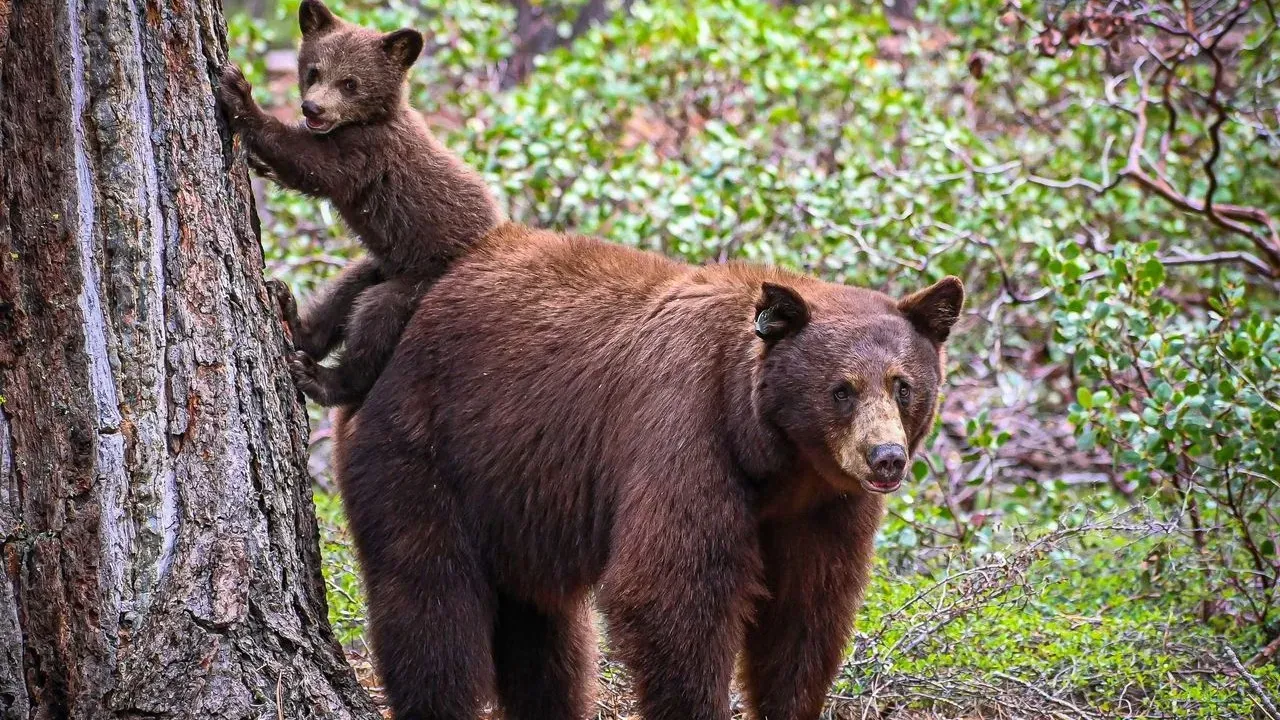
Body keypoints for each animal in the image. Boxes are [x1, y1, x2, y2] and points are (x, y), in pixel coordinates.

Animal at [217, 0, 501, 407]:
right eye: (314, 70)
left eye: (350, 82)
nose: (312, 108)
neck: (371, 120)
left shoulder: (366, 154)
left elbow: (311, 165)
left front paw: (240, 94)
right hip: (383, 263)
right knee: (346, 290)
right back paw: (292, 316)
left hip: (419, 285)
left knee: (375, 319)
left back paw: (319, 376)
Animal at [334, 222, 965, 720]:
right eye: (842, 389)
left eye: (903, 385)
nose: (886, 457)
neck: (774, 458)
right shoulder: (685, 430)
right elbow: (671, 593)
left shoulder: (825, 506)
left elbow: (807, 610)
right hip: (421, 451)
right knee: (431, 602)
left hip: (514, 494)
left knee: (545, 636)